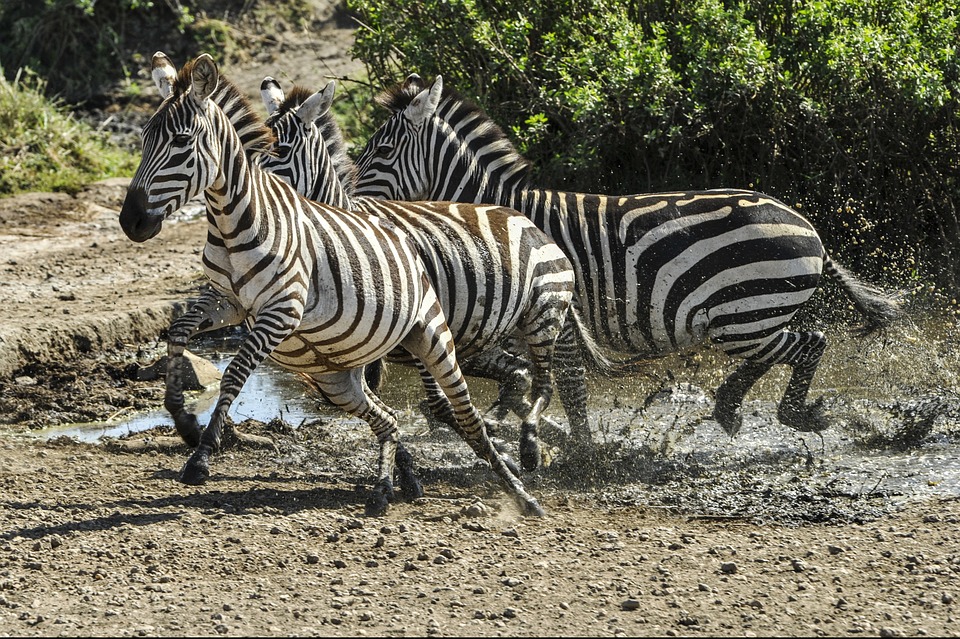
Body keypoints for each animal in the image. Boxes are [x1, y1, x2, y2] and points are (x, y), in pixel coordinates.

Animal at [116, 52, 544, 516]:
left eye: (181, 141)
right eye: (144, 139)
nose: (131, 221)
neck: (232, 223)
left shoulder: (281, 312)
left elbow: (233, 375)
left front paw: (202, 454)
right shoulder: (228, 304)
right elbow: (177, 331)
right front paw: (182, 419)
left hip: (439, 334)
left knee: (473, 402)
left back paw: (520, 483)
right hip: (344, 370)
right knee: (405, 409)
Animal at [348, 74, 904, 440]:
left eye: (380, 152)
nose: (345, 201)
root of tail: (809, 228)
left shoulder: (554, 318)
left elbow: (569, 386)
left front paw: (580, 451)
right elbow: (512, 374)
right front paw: (523, 419)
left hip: (745, 315)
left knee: (809, 343)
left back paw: (789, 414)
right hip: (750, 319)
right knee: (792, 346)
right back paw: (730, 408)